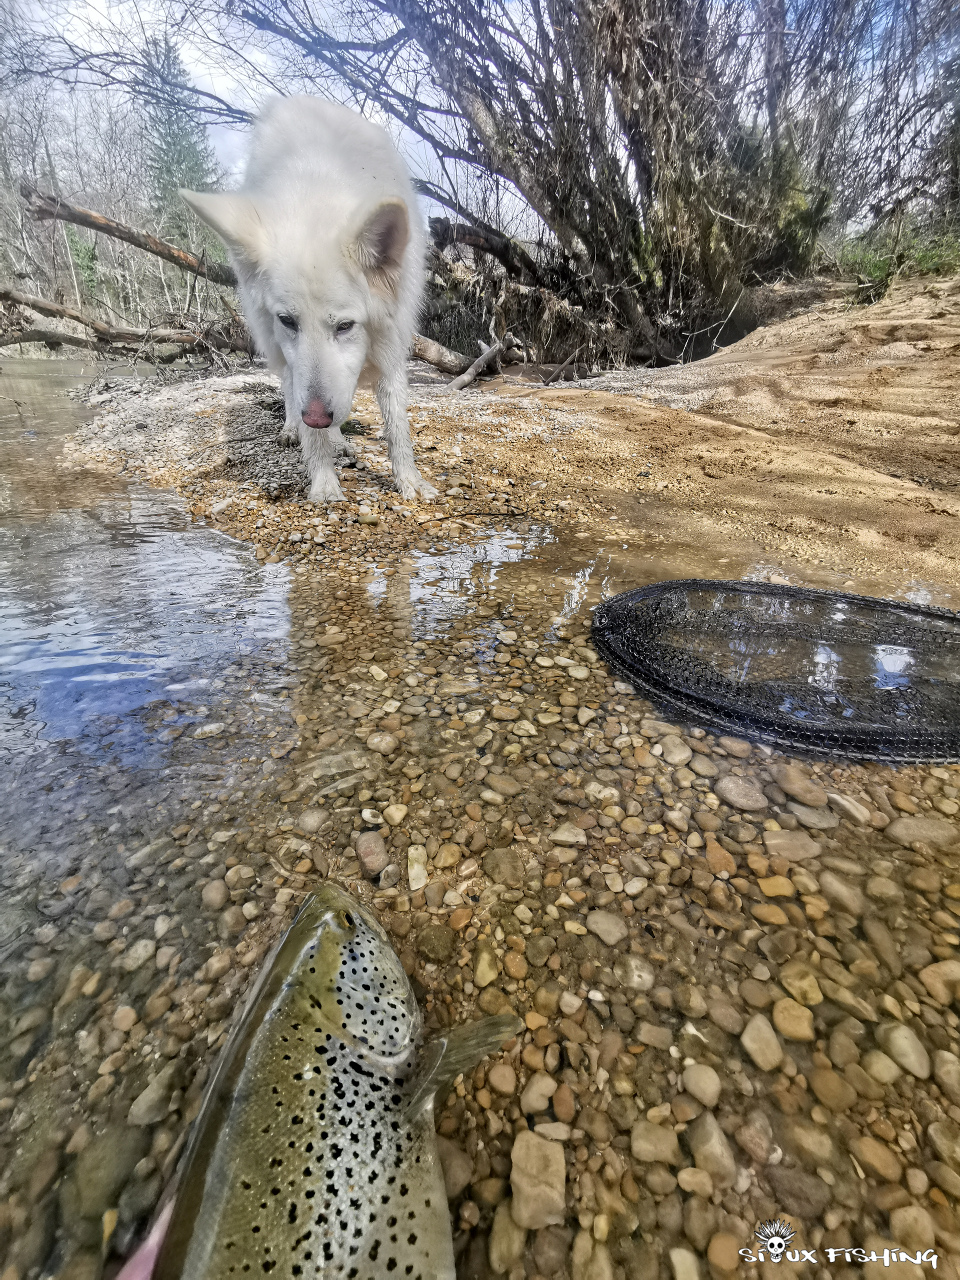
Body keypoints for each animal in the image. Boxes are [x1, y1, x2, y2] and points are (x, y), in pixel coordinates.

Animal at [180, 97, 435, 504]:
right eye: (288, 320)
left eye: (345, 326)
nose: (314, 417)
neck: (318, 198)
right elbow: (307, 417)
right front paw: (324, 482)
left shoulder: (391, 344)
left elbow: (398, 425)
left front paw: (409, 480)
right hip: (275, 347)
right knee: (289, 385)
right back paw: (297, 429)